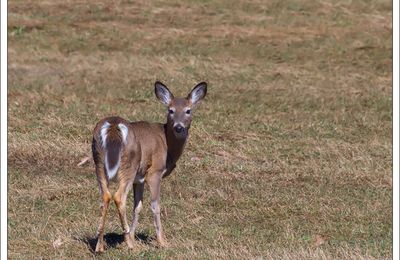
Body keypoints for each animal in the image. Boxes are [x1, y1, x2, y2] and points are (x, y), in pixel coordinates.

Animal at [92, 81, 208, 252]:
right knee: (119, 197)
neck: (167, 145)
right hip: (129, 164)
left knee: (105, 196)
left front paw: (132, 236)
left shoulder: (139, 178)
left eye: (188, 110)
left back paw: (100, 246)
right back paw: (131, 246)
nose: (179, 127)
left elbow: (137, 206)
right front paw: (162, 242)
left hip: (99, 162)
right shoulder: (155, 171)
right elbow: (155, 205)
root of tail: (113, 126)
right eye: (170, 110)